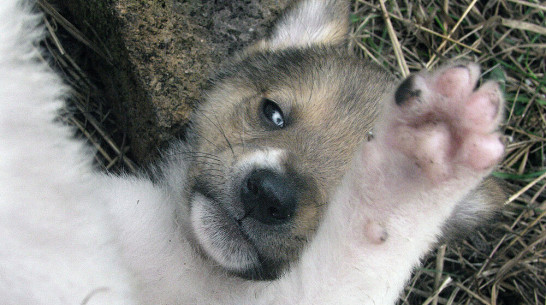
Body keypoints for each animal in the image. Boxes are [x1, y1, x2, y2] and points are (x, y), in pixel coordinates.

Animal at [0, 0, 502, 304]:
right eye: (273, 113)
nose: (268, 195)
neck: (195, 267)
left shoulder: (315, 291)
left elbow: (364, 244)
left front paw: (422, 156)